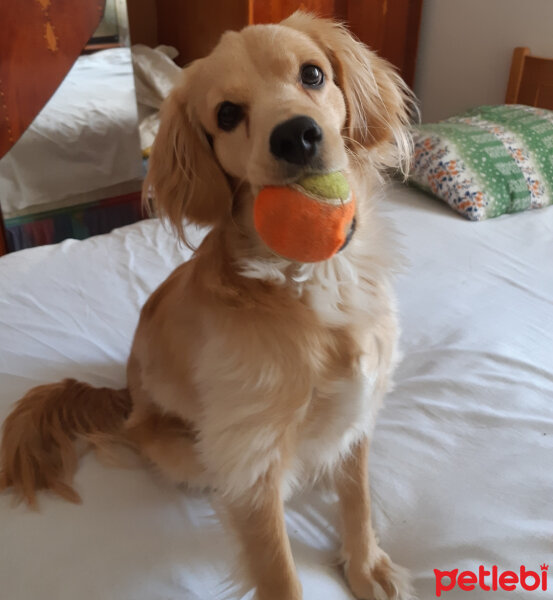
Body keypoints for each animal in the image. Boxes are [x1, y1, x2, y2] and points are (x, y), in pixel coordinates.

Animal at [1, 10, 414, 600]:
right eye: (227, 114)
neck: (311, 279)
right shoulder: (251, 457)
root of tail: (124, 398)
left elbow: (357, 499)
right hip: (186, 448)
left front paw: (364, 565)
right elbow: (278, 571)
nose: (296, 135)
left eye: (312, 74)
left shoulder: (359, 407)